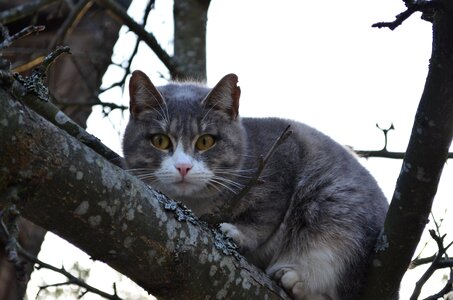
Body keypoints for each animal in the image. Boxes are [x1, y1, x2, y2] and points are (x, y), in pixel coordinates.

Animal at [122, 71, 390, 300]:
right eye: (160, 140)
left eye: (206, 141)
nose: (183, 167)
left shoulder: (283, 154)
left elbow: (264, 215)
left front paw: (238, 233)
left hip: (336, 215)